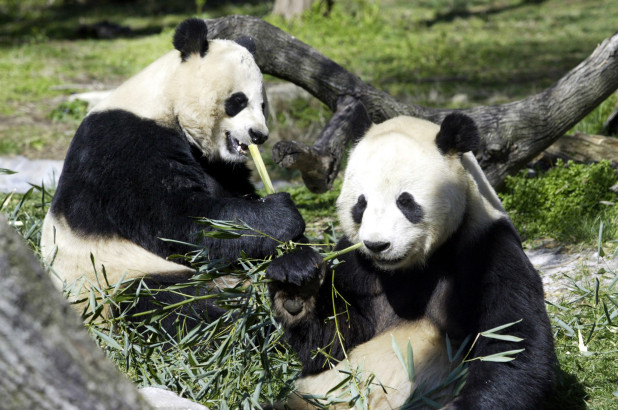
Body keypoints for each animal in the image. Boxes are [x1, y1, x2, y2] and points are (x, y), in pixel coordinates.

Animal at [39, 18, 304, 318]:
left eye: (262, 104)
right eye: (237, 101)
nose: (259, 135)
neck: (166, 99)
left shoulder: (219, 166)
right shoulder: (126, 145)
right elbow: (179, 220)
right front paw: (283, 213)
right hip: (111, 280)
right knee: (166, 305)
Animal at [264, 113, 552, 410]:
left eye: (405, 201)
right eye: (361, 204)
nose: (378, 245)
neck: (409, 267)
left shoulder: (486, 248)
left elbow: (510, 342)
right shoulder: (354, 264)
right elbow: (332, 343)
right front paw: (296, 287)